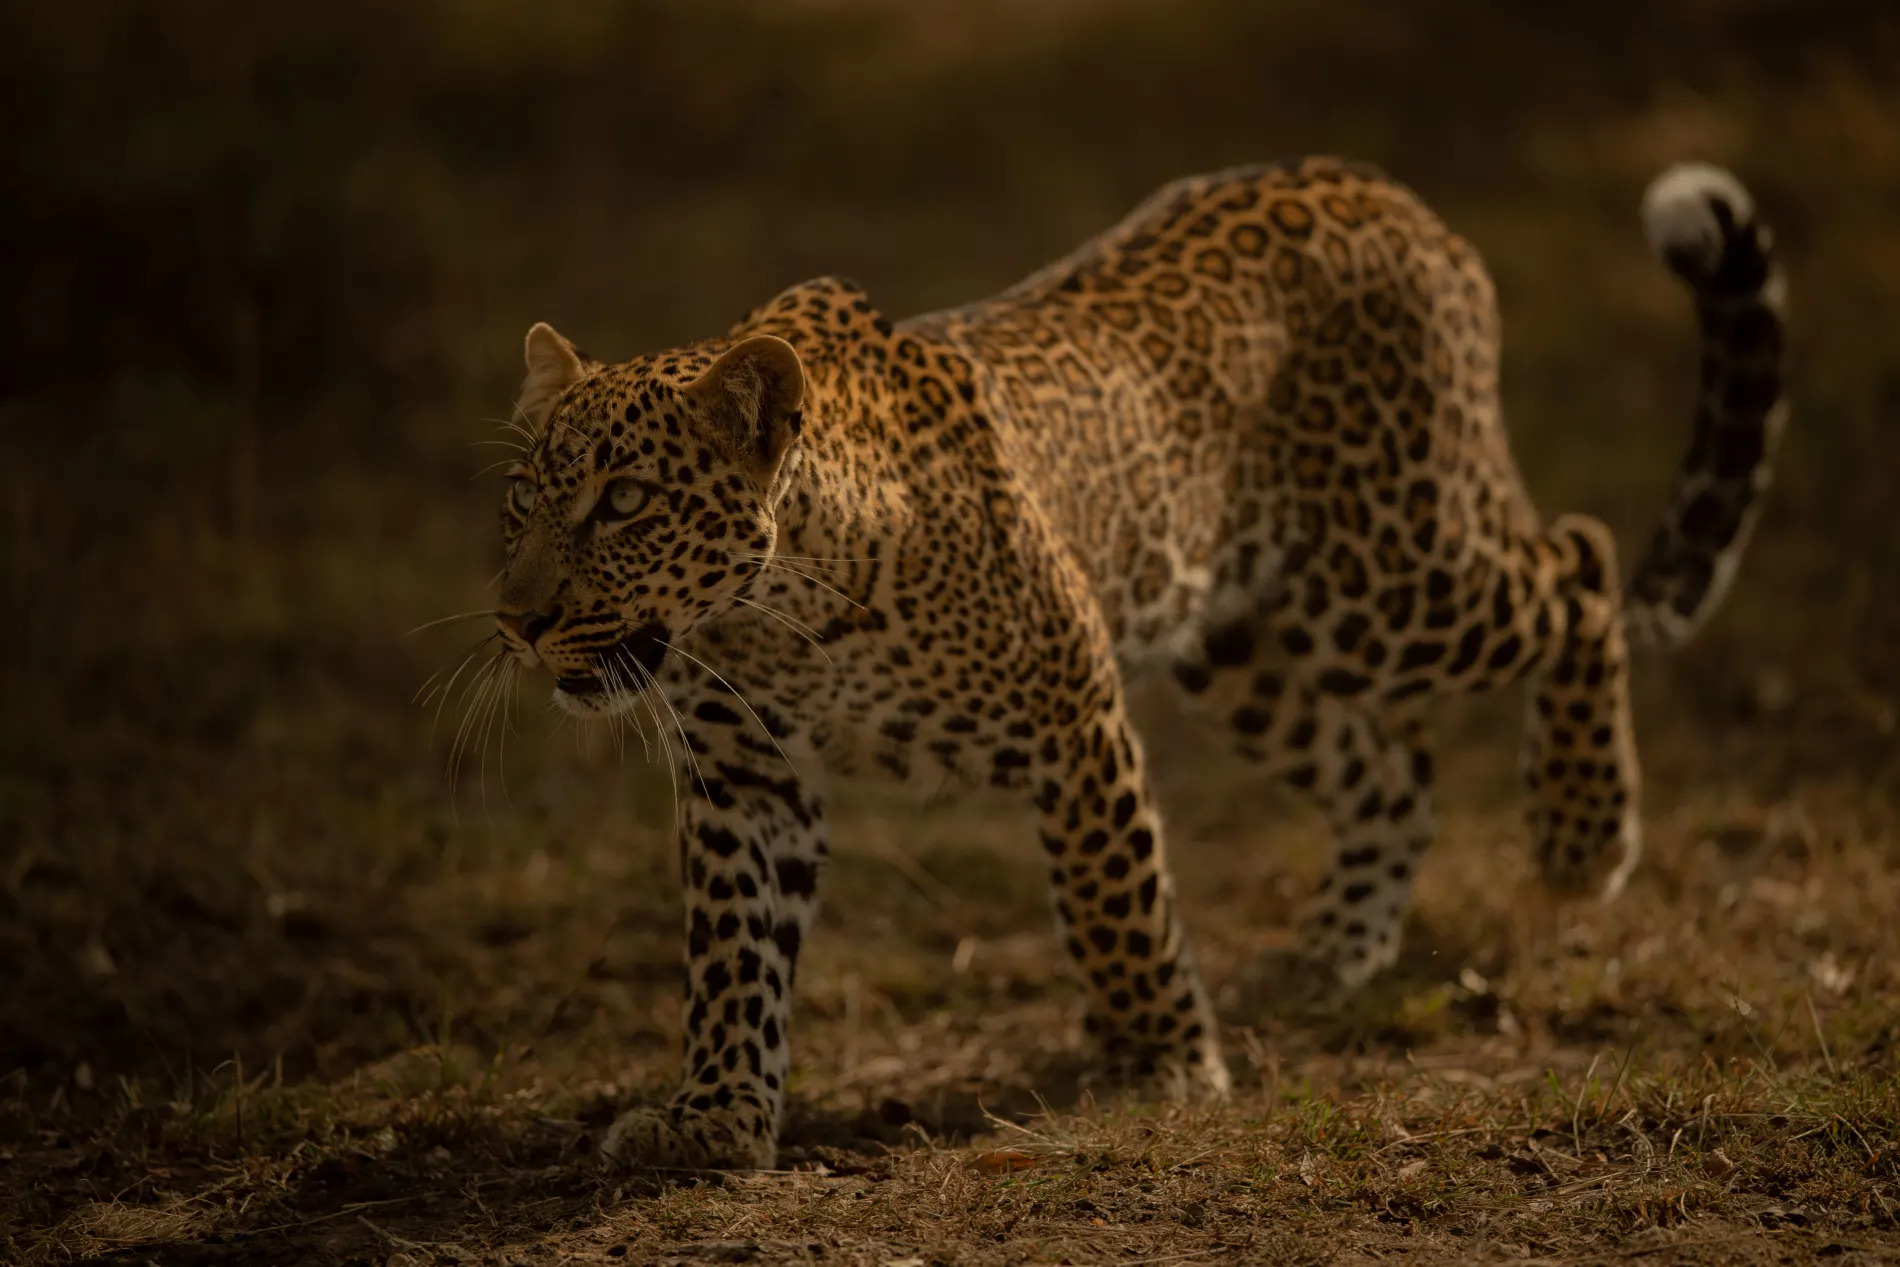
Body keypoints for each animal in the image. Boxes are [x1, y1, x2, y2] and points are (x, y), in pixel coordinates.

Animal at [482, 155, 1786, 1170]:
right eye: (522, 499)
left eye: (624, 502)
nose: (518, 619)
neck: (775, 613)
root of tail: (1391, 194)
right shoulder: (742, 781)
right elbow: (731, 959)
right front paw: (714, 1119)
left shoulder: (1073, 713)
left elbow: (1118, 896)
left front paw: (1158, 1059)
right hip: (1242, 652)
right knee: (1394, 770)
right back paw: (1331, 953)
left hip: (1393, 573)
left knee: (1579, 564)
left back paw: (1581, 837)